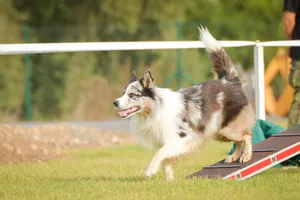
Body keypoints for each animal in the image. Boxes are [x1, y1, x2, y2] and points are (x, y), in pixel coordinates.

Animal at [112, 27, 255, 181]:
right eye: (123, 93)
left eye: (132, 95)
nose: (115, 103)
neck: (155, 109)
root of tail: (229, 81)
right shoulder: (168, 141)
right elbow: (166, 161)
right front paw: (170, 180)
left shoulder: (182, 138)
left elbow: (159, 154)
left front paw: (150, 171)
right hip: (218, 131)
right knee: (239, 140)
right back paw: (233, 157)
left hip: (228, 129)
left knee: (247, 135)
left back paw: (246, 156)